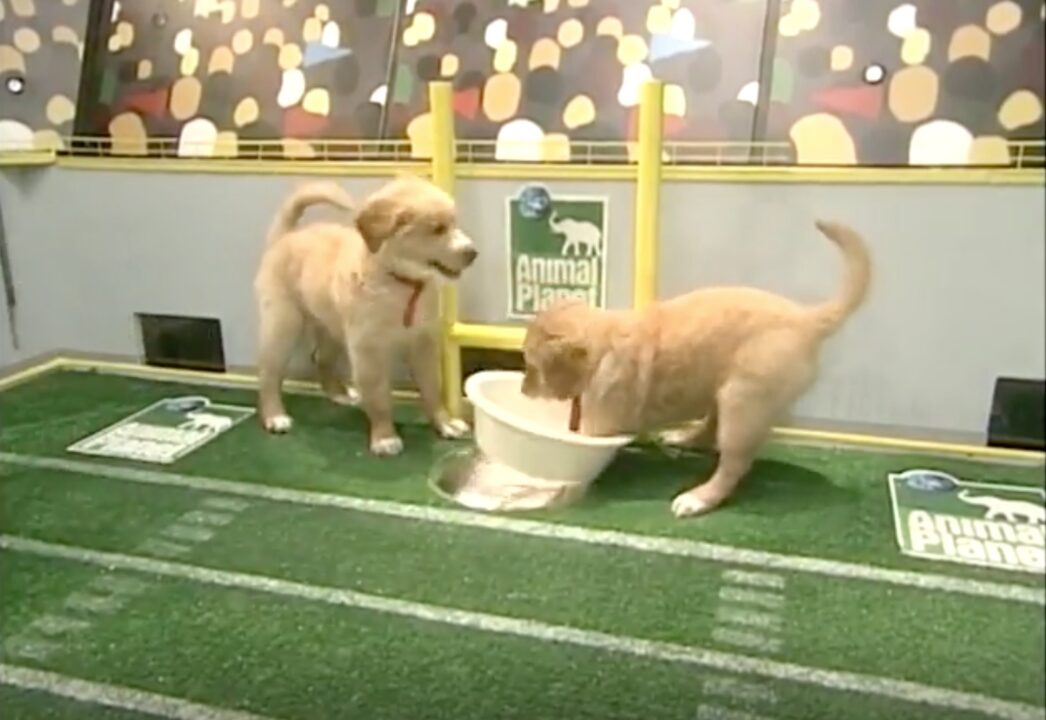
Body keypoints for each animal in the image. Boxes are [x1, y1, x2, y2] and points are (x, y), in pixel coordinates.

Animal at [253, 174, 479, 456]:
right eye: (437, 229)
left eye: (454, 223)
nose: (473, 253)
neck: (401, 283)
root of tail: (287, 235)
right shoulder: (368, 351)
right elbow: (379, 397)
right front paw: (384, 437)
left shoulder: (423, 343)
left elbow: (431, 389)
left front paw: (445, 423)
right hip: (283, 324)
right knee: (269, 373)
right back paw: (274, 416)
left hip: (331, 327)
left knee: (320, 358)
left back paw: (339, 394)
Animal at [518, 219, 870, 516]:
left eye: (531, 366)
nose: (523, 391)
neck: (602, 344)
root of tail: (806, 318)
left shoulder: (598, 425)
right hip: (725, 394)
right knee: (711, 430)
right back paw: (682, 439)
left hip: (743, 403)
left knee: (732, 464)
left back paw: (698, 498)